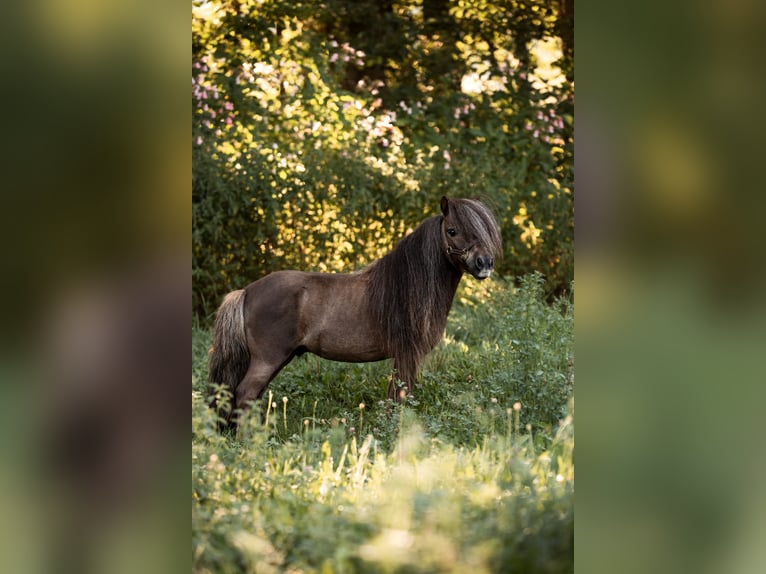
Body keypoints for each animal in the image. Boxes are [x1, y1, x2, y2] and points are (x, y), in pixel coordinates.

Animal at [208, 197, 504, 428]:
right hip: (268, 360)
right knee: (245, 395)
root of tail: (247, 291)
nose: (484, 263)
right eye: (452, 230)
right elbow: (400, 397)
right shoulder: (407, 354)